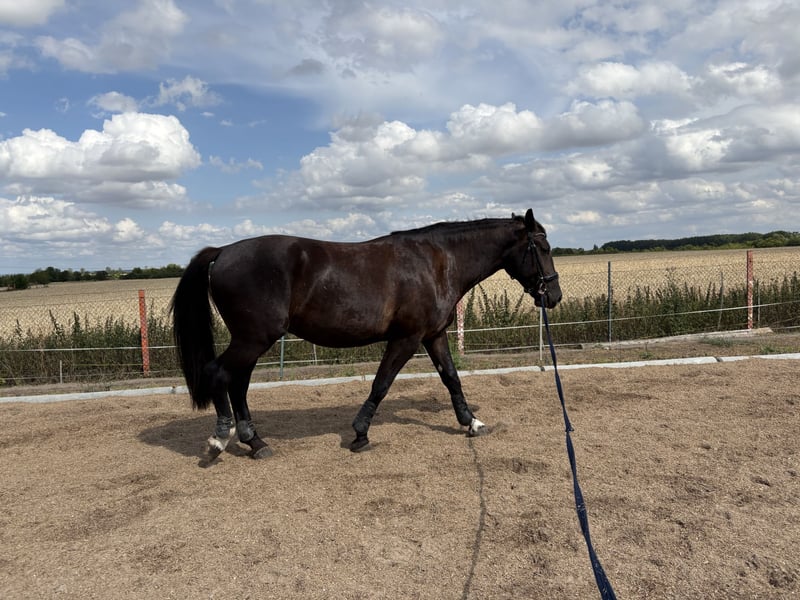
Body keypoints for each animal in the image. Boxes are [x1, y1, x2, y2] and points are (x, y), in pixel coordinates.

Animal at [171, 209, 561, 460]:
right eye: (543, 248)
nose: (554, 296)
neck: (436, 263)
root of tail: (222, 252)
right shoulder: (407, 338)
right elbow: (382, 383)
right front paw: (360, 433)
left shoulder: (434, 335)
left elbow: (451, 378)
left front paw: (472, 423)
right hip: (252, 339)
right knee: (219, 374)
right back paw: (220, 440)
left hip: (252, 341)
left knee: (237, 383)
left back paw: (255, 442)